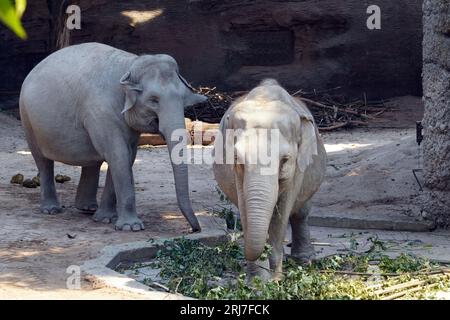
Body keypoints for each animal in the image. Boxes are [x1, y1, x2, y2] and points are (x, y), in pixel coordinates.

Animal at [18, 43, 206, 232]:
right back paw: (51, 210)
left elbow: (128, 156)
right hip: (28, 119)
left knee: (92, 160)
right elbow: (118, 155)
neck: (130, 65)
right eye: (154, 100)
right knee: (42, 160)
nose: (195, 229)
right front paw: (131, 227)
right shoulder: (101, 113)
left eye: (183, 99)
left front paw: (106, 219)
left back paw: (87, 209)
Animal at [214, 79, 326, 278]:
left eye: (285, 159)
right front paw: (258, 281)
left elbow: (282, 209)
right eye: (237, 159)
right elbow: (245, 207)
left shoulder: (298, 167)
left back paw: (305, 261)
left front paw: (275, 279)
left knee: (301, 212)